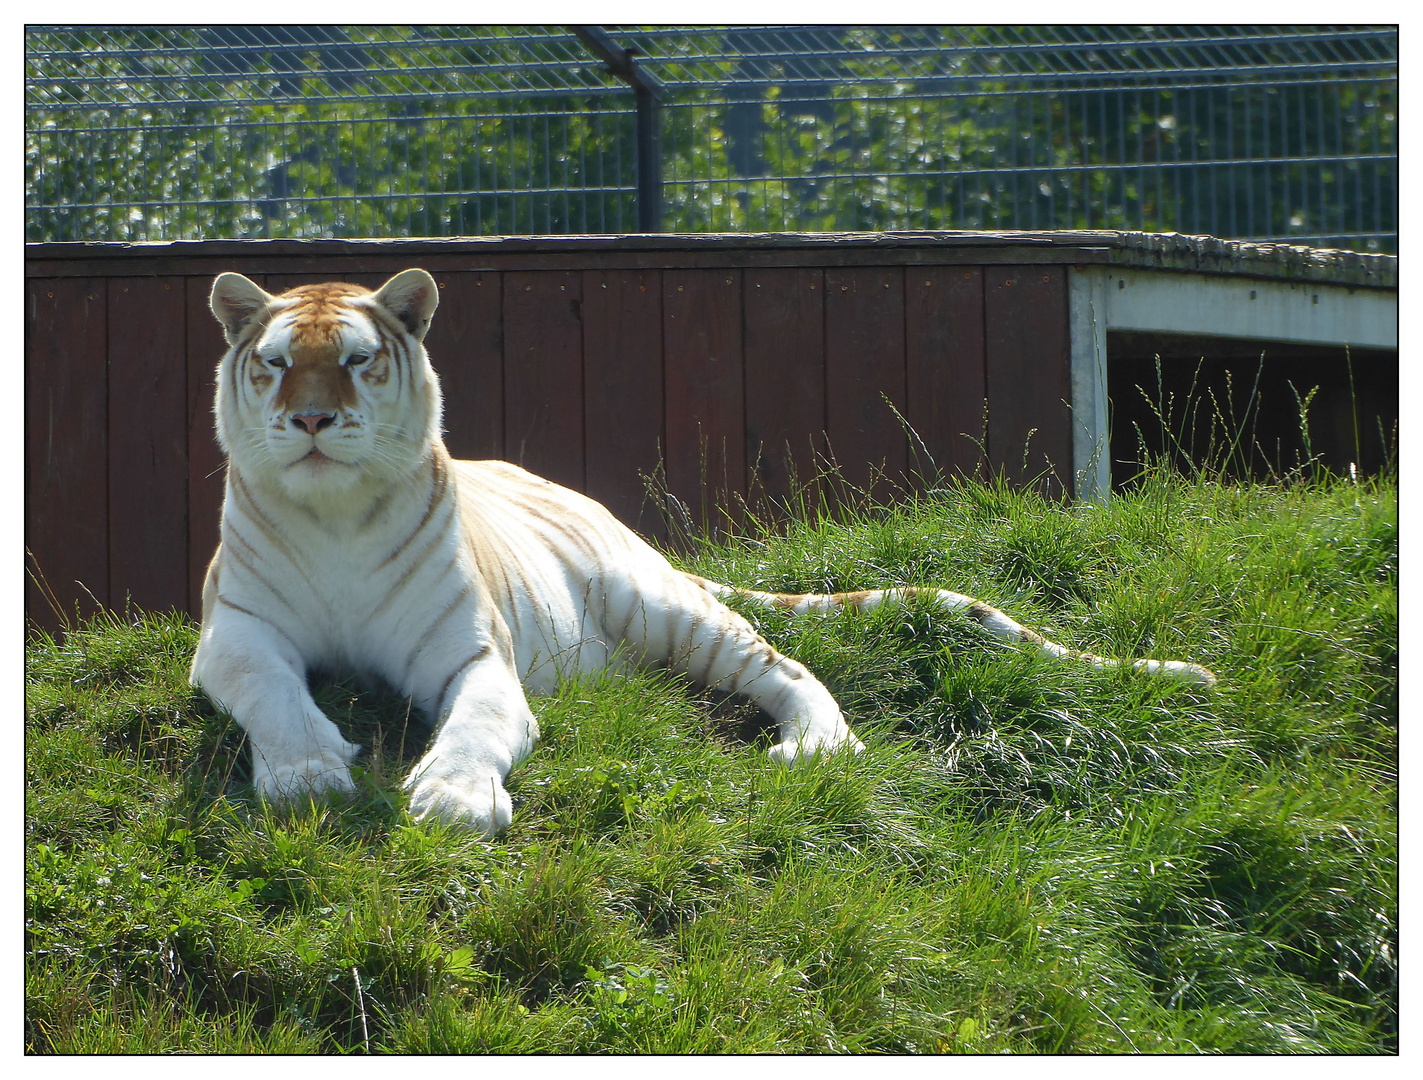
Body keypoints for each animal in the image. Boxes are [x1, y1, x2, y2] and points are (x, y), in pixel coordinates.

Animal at [186, 268, 1212, 836]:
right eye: (275, 363)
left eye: (356, 360)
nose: (310, 420)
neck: (336, 518)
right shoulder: (235, 633)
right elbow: (274, 693)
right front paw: (308, 773)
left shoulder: (473, 653)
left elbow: (474, 724)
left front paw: (454, 801)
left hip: (664, 607)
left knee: (789, 668)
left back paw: (816, 746)